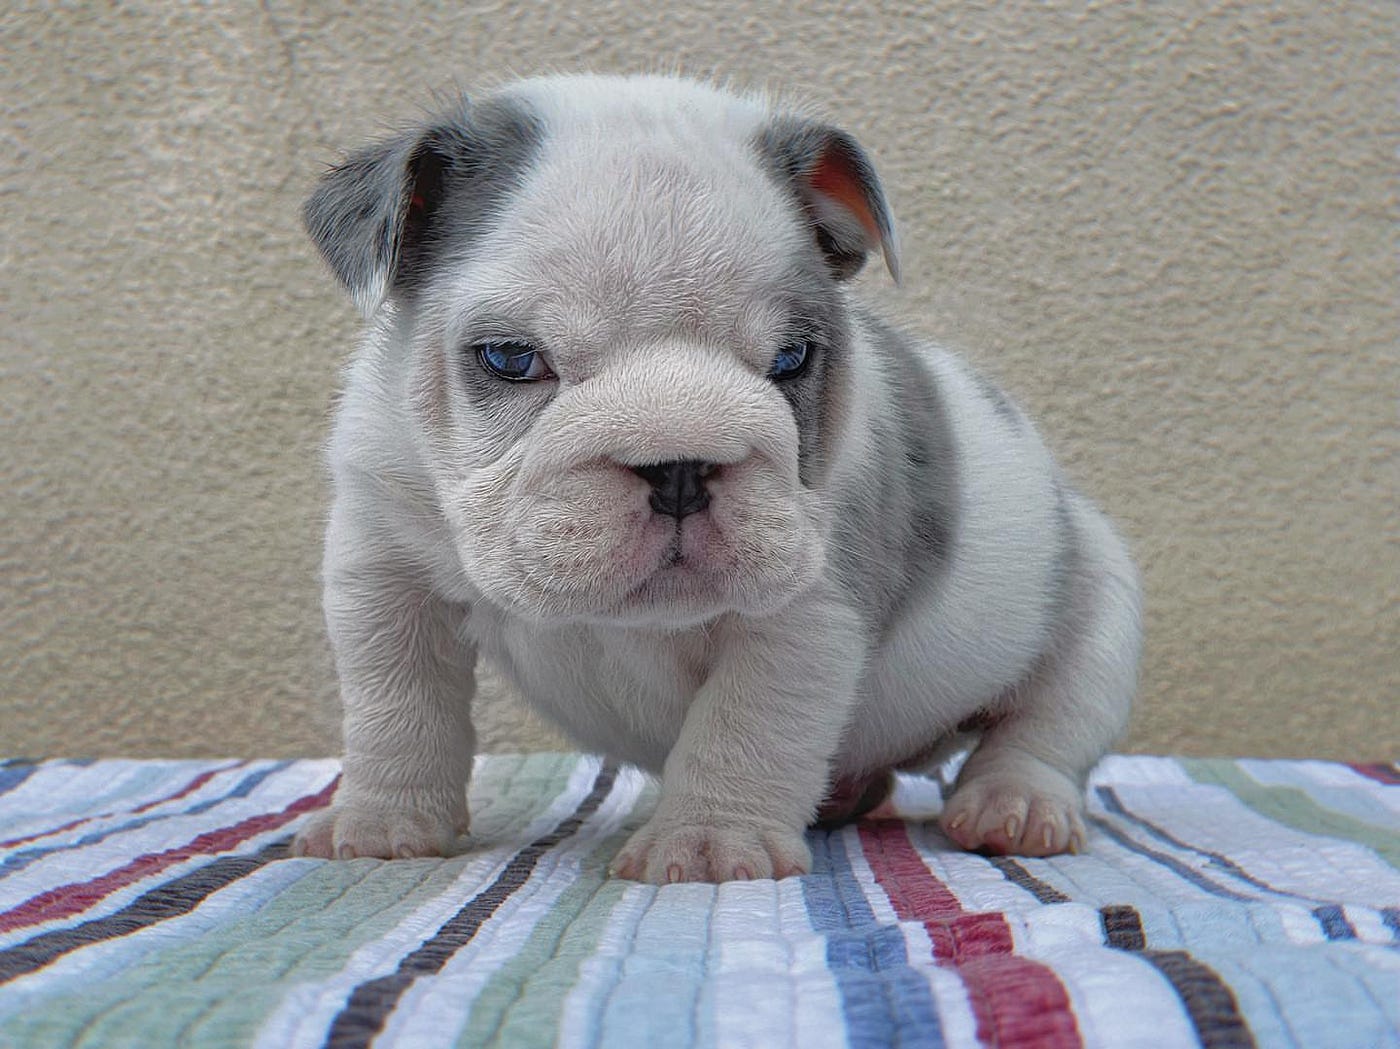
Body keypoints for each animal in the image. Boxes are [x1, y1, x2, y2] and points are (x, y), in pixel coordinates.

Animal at [292, 73, 1136, 879]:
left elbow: (746, 724)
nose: (678, 468)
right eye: (510, 357)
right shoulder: (384, 572)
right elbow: (398, 704)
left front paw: (708, 839)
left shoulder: (802, 617)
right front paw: (382, 820)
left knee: (1047, 728)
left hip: (1100, 606)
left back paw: (1013, 804)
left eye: (792, 359)